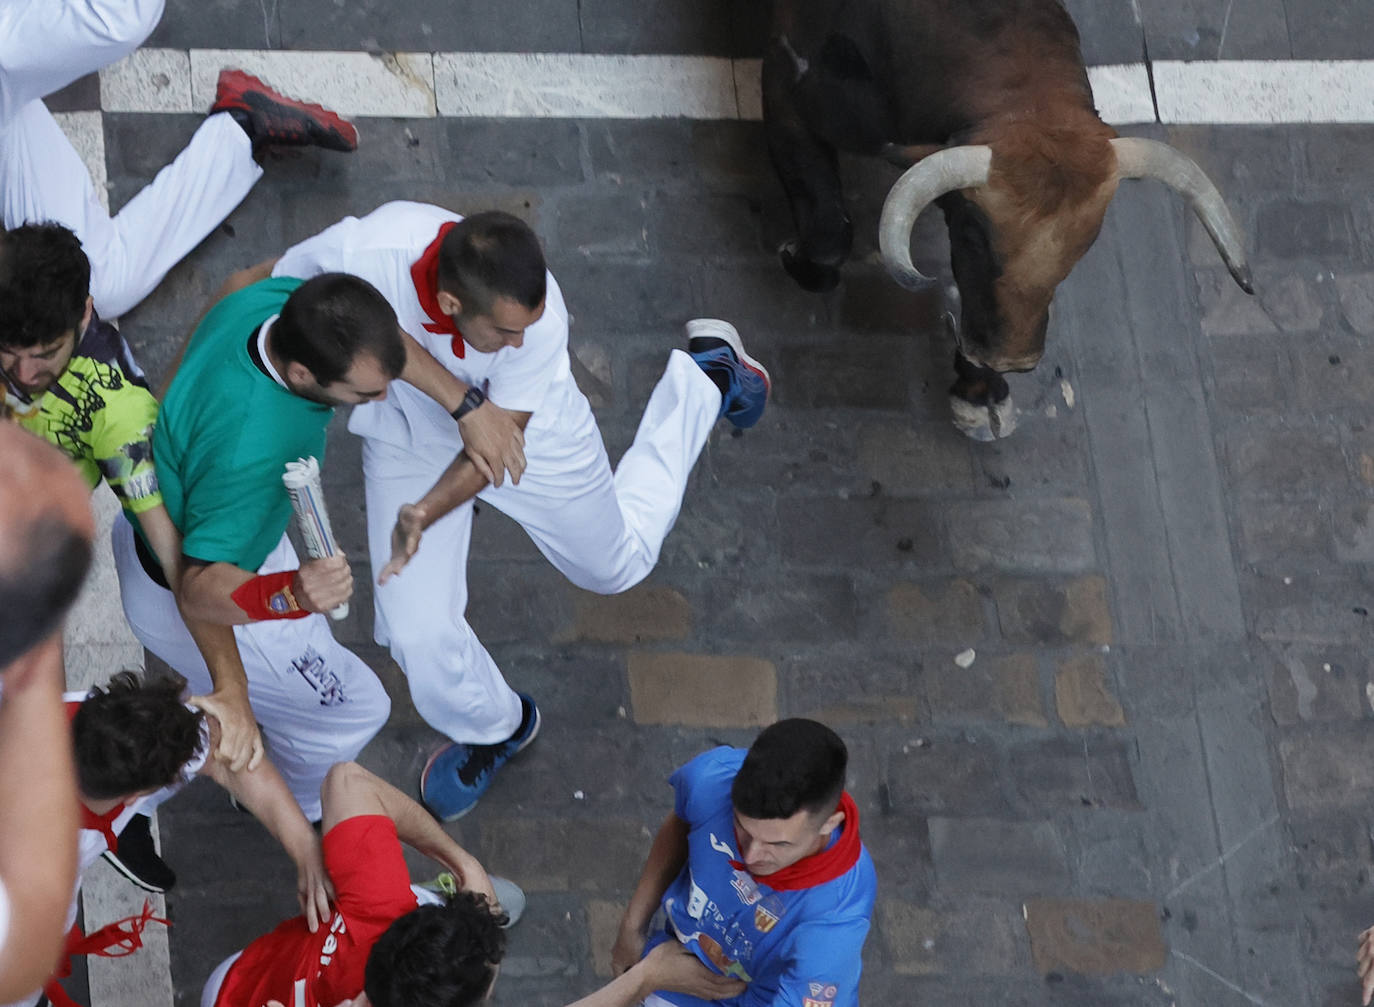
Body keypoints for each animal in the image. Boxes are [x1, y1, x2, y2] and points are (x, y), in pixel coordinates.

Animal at [763, 0, 1258, 436]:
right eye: (972, 235)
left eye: (1084, 245)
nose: (1010, 360)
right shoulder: (788, 92)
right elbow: (829, 236)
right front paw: (795, 258)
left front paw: (979, 392)